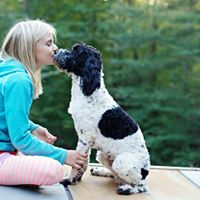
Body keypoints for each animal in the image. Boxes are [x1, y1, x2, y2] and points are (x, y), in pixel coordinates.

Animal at [53, 43, 150, 195]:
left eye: (75, 51)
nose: (56, 51)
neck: (90, 91)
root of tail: (146, 171)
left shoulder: (85, 137)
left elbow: (78, 163)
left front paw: (69, 179)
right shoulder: (86, 140)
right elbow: (84, 161)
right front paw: (77, 178)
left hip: (122, 162)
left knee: (141, 185)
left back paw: (127, 188)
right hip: (102, 155)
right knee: (116, 175)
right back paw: (102, 171)